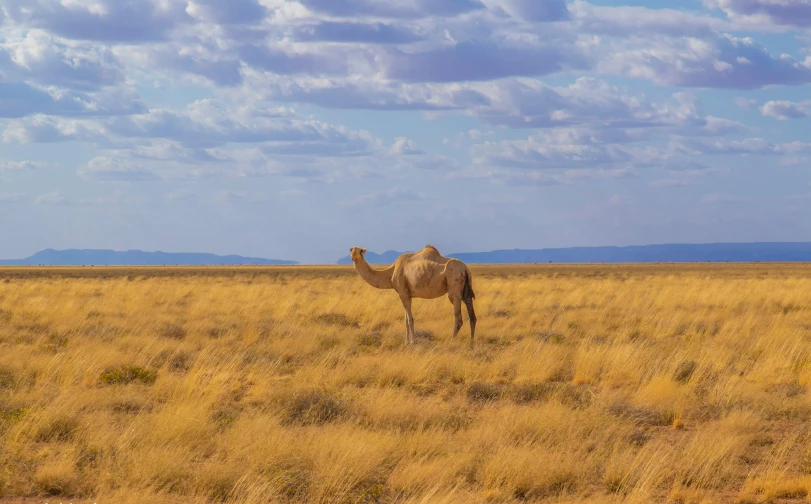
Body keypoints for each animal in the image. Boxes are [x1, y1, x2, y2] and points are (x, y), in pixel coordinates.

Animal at [348, 244, 476, 346]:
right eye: (351, 250)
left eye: (360, 251)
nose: (353, 255)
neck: (391, 273)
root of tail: (465, 269)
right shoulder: (408, 295)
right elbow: (405, 319)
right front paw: (406, 341)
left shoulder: (402, 293)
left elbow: (410, 319)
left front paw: (412, 342)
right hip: (466, 290)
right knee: (472, 316)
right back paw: (471, 342)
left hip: (454, 288)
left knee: (458, 318)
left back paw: (451, 341)